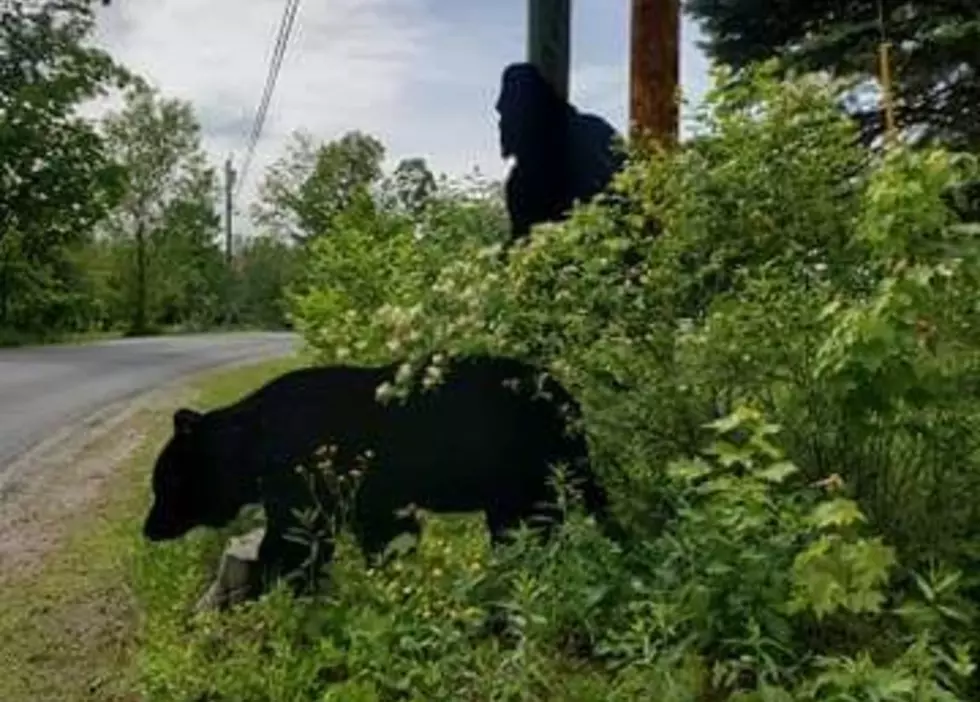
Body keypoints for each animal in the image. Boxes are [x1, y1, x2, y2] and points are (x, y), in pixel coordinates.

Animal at [142, 358, 608, 592]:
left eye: (162, 484)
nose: (149, 529)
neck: (252, 445)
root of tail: (570, 403)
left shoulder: (303, 474)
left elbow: (296, 538)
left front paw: (272, 585)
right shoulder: (370, 494)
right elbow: (384, 531)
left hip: (528, 467)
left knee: (538, 523)